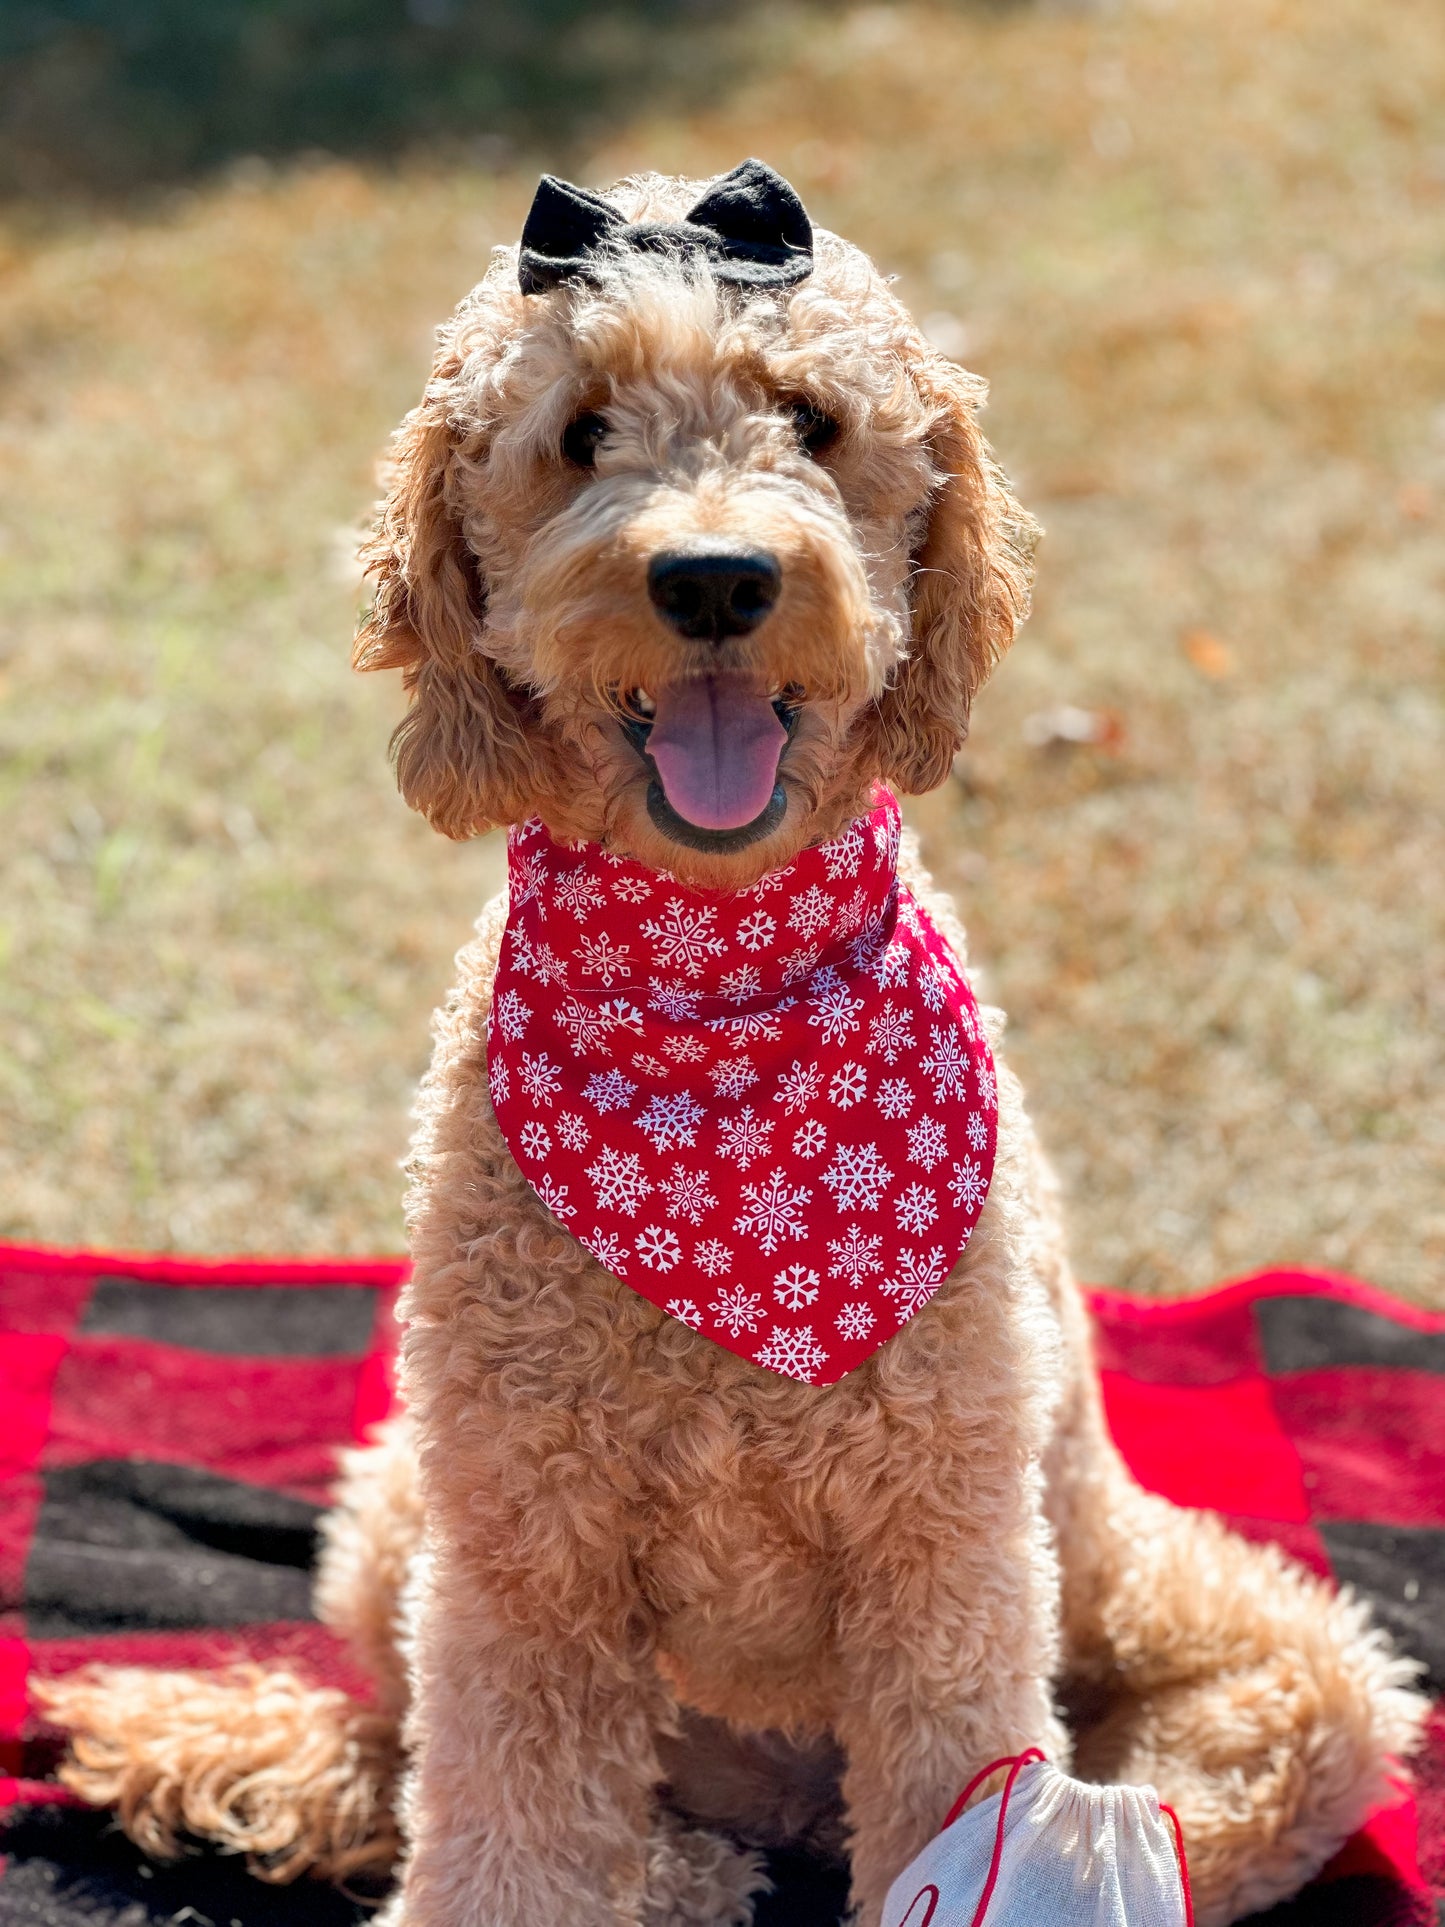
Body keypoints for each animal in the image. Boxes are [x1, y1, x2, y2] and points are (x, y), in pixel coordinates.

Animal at [42, 161, 1425, 1927]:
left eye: (812, 421)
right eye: (580, 434)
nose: (714, 579)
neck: (719, 1020)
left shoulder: (946, 1546)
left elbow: (952, 1774)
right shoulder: (523, 1545)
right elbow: (503, 1839)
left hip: (1203, 1610)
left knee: (1250, 1739)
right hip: (396, 1520)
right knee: (420, 1745)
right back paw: (660, 1862)